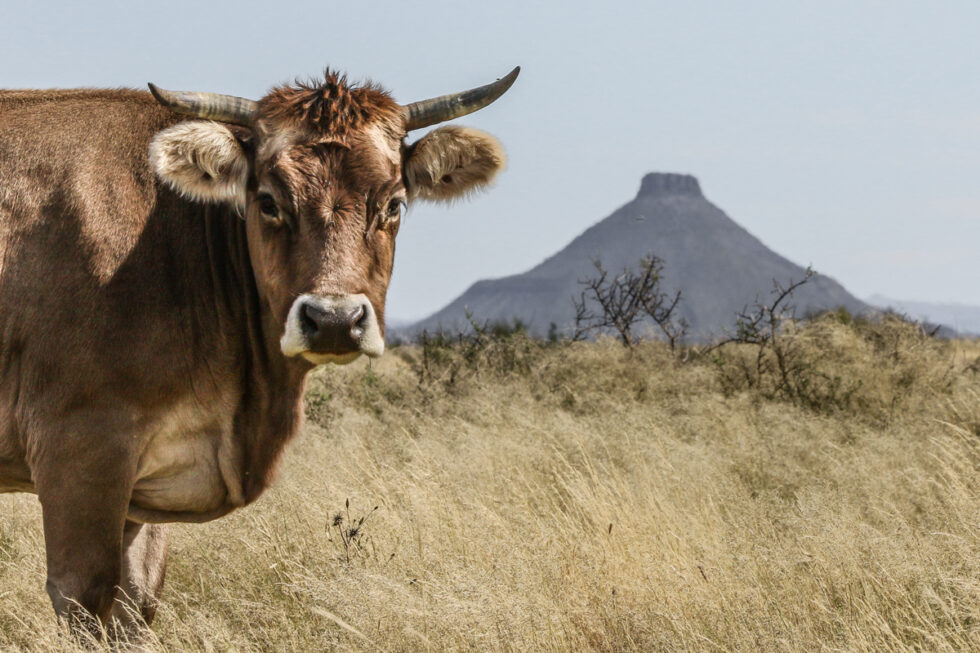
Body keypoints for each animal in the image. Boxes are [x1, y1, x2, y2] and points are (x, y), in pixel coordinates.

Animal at [0, 65, 518, 636]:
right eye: (268, 201)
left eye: (393, 204)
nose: (334, 321)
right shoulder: (81, 447)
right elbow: (87, 600)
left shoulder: (142, 484)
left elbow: (136, 604)